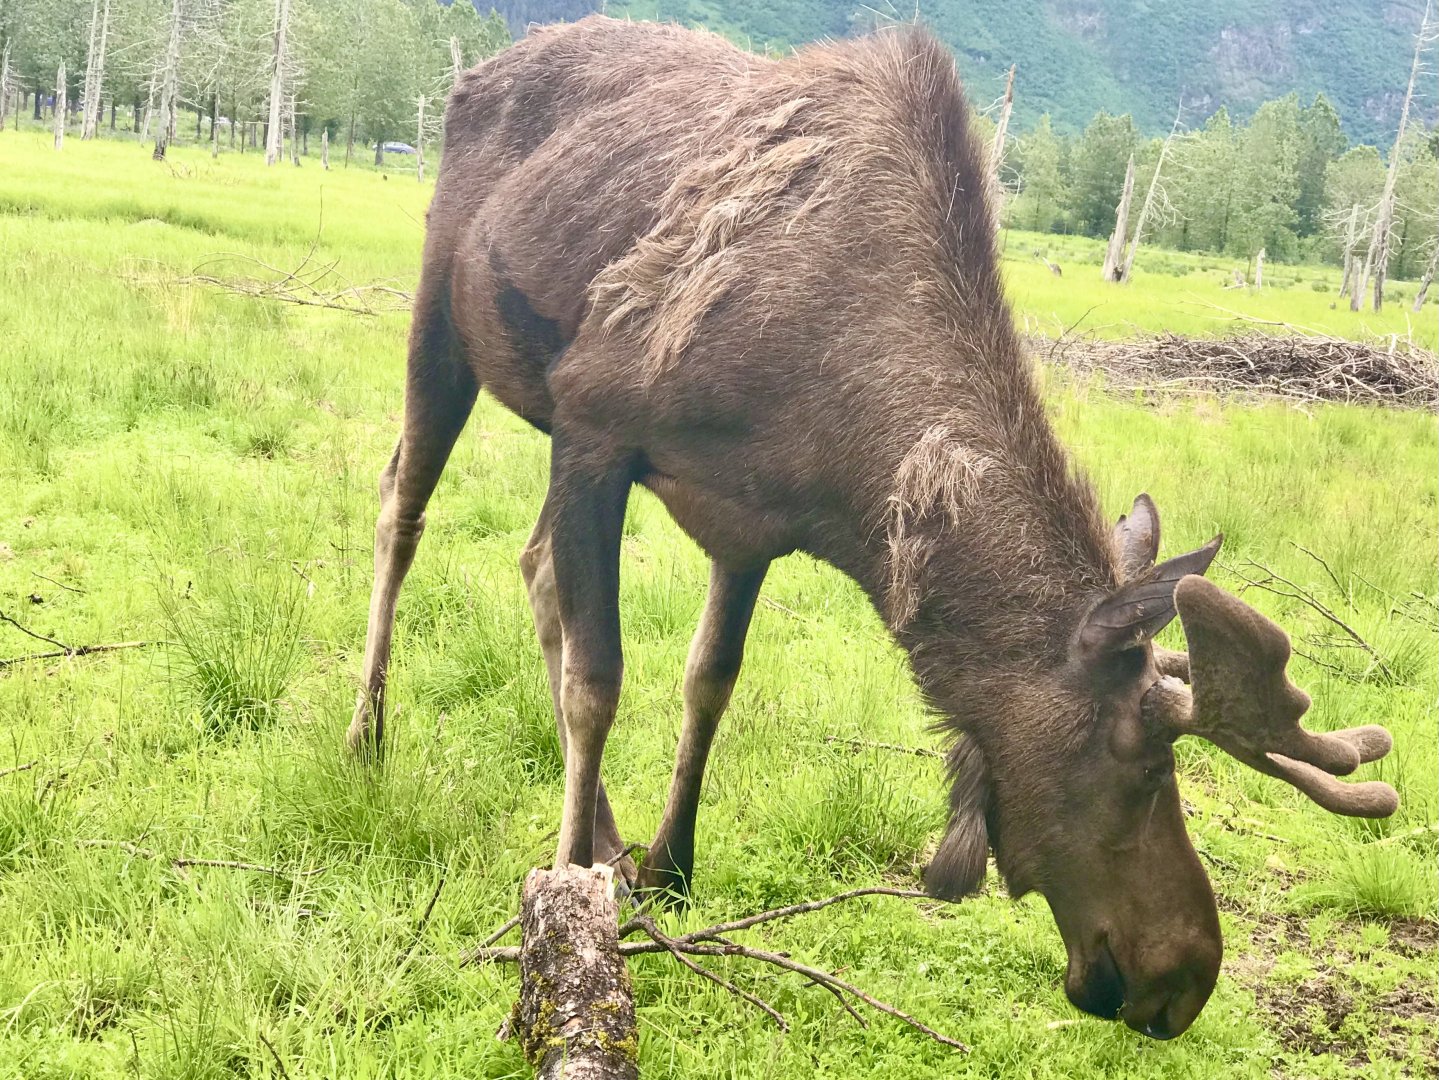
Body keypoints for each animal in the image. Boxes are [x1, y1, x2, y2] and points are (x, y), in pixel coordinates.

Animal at [347, 16, 1399, 1040]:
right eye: (1143, 763)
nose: (1183, 978)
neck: (837, 437)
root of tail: (476, 75)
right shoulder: (592, 426)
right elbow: (595, 682)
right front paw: (568, 899)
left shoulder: (747, 521)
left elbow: (708, 679)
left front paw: (667, 867)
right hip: (443, 318)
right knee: (403, 504)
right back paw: (368, 733)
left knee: (532, 565)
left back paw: (602, 826)